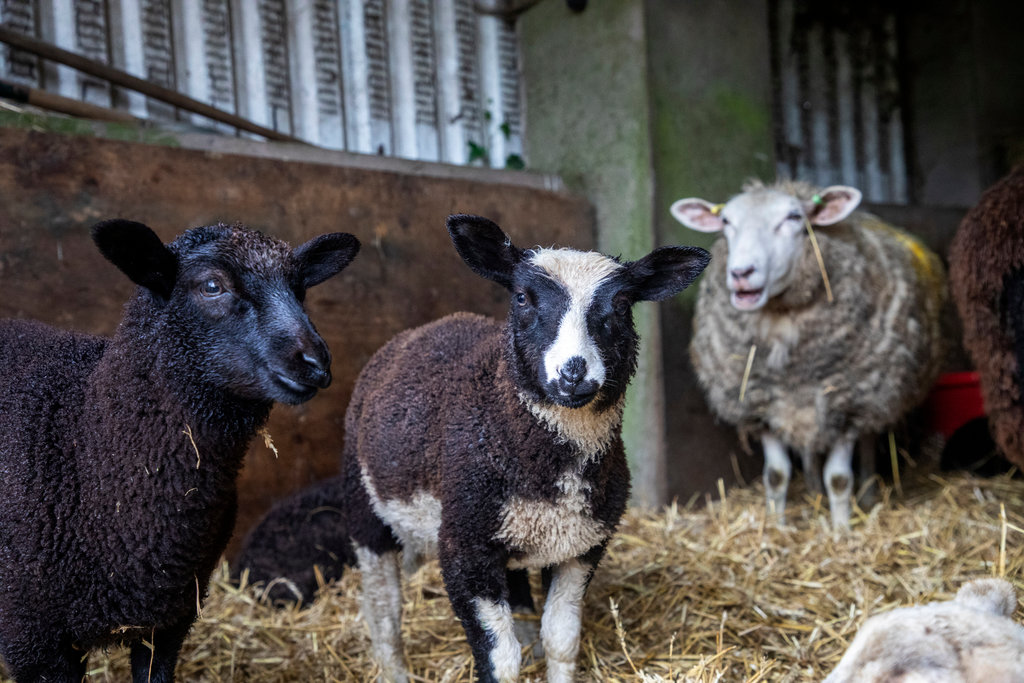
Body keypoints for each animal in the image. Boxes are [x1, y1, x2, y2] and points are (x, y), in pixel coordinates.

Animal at [329, 214, 708, 683]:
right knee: (383, 607)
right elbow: (501, 661)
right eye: (524, 298)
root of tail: (420, 331)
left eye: (622, 305)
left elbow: (562, 640)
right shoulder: (464, 548)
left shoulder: (581, 546)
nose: (573, 373)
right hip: (365, 501)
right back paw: (394, 667)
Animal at [671, 180, 946, 529]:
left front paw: (841, 530)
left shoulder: (847, 405)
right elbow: (776, 476)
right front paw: (777, 526)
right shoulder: (762, 406)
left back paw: (866, 495)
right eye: (725, 222)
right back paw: (814, 492)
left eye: (793, 218)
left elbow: (840, 479)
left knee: (868, 446)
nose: (741, 273)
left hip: (873, 394)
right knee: (809, 451)